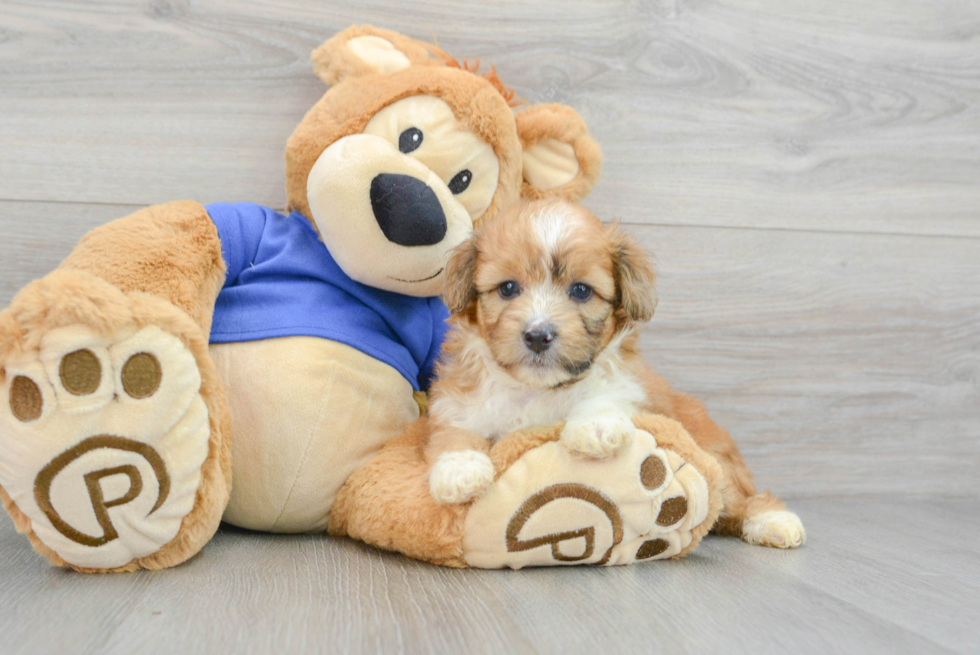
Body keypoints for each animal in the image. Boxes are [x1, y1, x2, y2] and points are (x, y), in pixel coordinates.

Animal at [426, 199, 804, 548]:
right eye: (507, 288)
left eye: (580, 290)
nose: (537, 335)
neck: (538, 389)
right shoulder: (459, 401)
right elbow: (457, 429)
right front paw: (459, 468)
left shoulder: (627, 385)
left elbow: (604, 393)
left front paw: (595, 426)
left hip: (717, 459)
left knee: (742, 498)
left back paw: (773, 521)